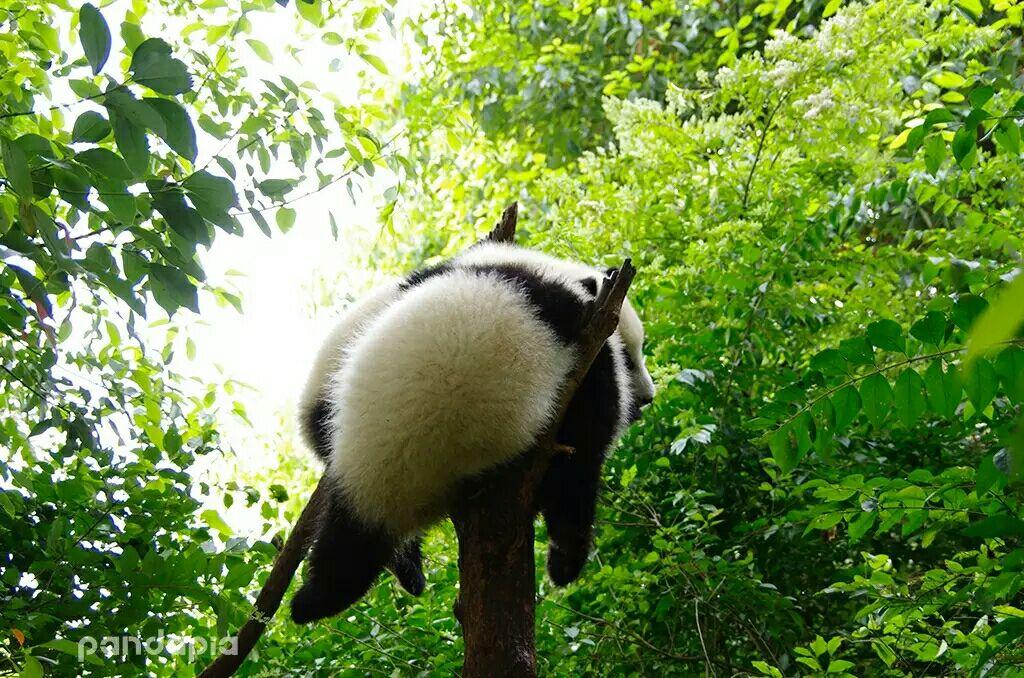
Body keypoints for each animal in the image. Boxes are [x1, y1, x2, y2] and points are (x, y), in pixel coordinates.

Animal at [292, 241, 651, 622]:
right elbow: (585, 446)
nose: (647, 399)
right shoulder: (589, 356)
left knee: (348, 543)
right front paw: (565, 558)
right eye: (630, 358)